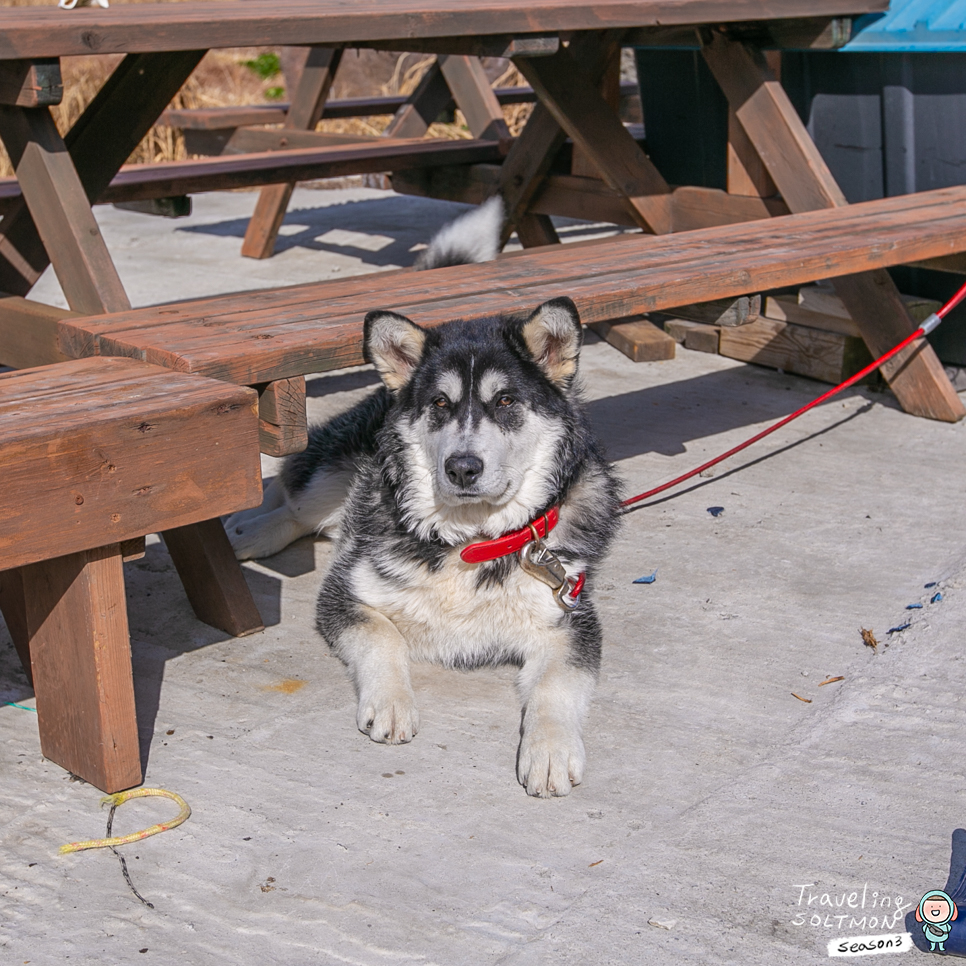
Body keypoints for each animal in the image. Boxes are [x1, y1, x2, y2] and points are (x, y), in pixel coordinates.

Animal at [226, 200, 620, 796]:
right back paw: (250, 531)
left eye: (506, 401)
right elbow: (382, 638)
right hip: (338, 467)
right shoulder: (347, 593)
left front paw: (550, 750)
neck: (471, 539)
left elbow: (556, 686)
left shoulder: (569, 620)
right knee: (294, 501)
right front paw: (392, 702)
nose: (462, 467)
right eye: (439, 403)